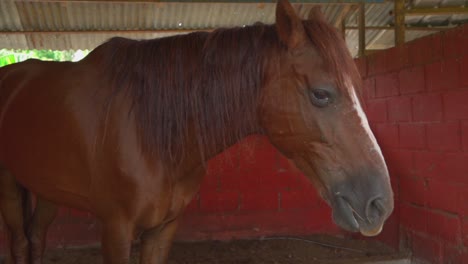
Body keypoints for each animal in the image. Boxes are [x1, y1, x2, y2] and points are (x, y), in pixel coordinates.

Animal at [0, 1, 394, 262]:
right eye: (321, 94)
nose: (380, 204)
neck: (150, 131)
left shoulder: (164, 229)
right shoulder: (116, 229)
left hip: (48, 191)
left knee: (37, 237)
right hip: (11, 189)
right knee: (20, 241)